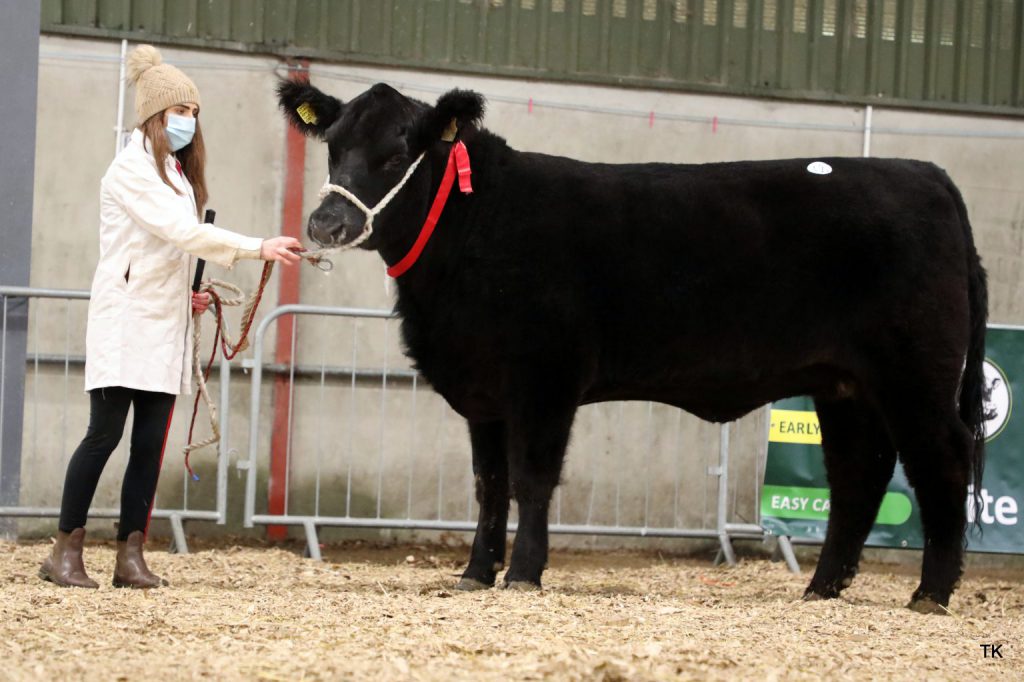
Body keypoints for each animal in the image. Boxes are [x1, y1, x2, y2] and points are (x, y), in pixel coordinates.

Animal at [277, 80, 987, 614]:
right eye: (334, 148)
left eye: (398, 153)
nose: (326, 223)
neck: (474, 229)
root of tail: (925, 173)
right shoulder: (484, 392)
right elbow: (488, 484)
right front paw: (477, 572)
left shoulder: (545, 378)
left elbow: (531, 480)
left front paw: (524, 574)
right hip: (844, 385)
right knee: (858, 474)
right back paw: (822, 589)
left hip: (914, 372)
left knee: (942, 463)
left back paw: (930, 594)